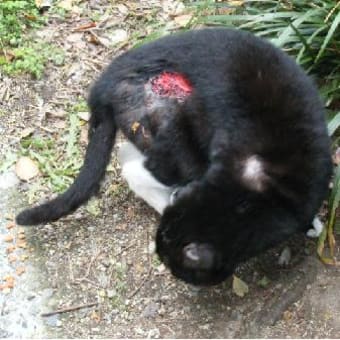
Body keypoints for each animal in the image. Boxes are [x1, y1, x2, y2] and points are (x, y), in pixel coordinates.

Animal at [16, 27, 332, 286]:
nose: (163, 261)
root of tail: (103, 85)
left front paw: (312, 225)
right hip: (163, 113)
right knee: (137, 167)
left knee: (132, 156)